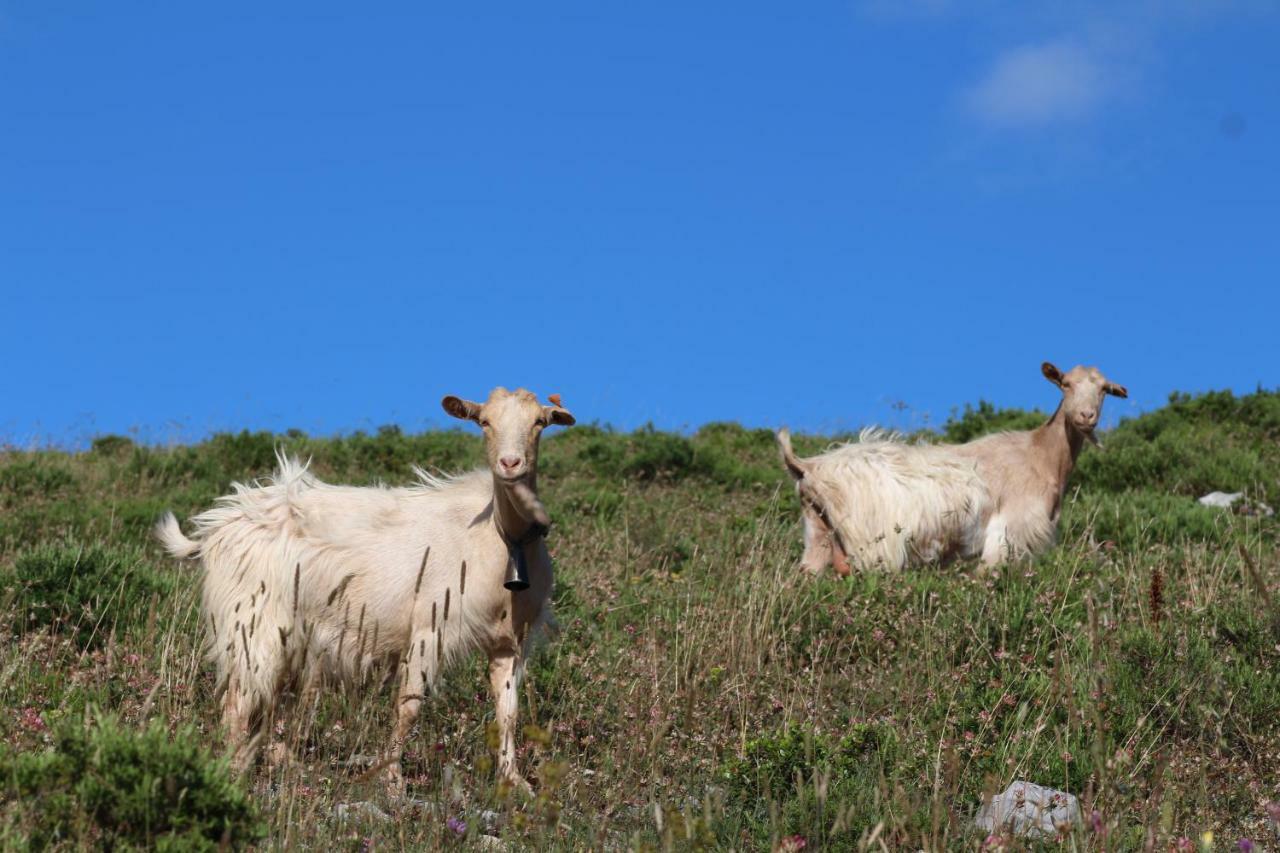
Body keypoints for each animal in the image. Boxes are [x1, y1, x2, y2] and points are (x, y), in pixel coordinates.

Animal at [154, 384, 576, 788]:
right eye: (484, 422)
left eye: (539, 423)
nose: (510, 463)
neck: (502, 537)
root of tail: (218, 525)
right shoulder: (429, 628)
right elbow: (409, 705)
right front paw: (391, 779)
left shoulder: (511, 644)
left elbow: (508, 712)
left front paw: (513, 782)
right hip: (251, 627)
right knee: (237, 706)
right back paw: (234, 772)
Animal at [773, 361, 1126, 571]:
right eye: (1065, 384)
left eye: (1104, 390)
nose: (1086, 416)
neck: (1040, 455)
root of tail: (809, 466)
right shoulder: (1006, 533)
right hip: (871, 545)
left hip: (819, 532)